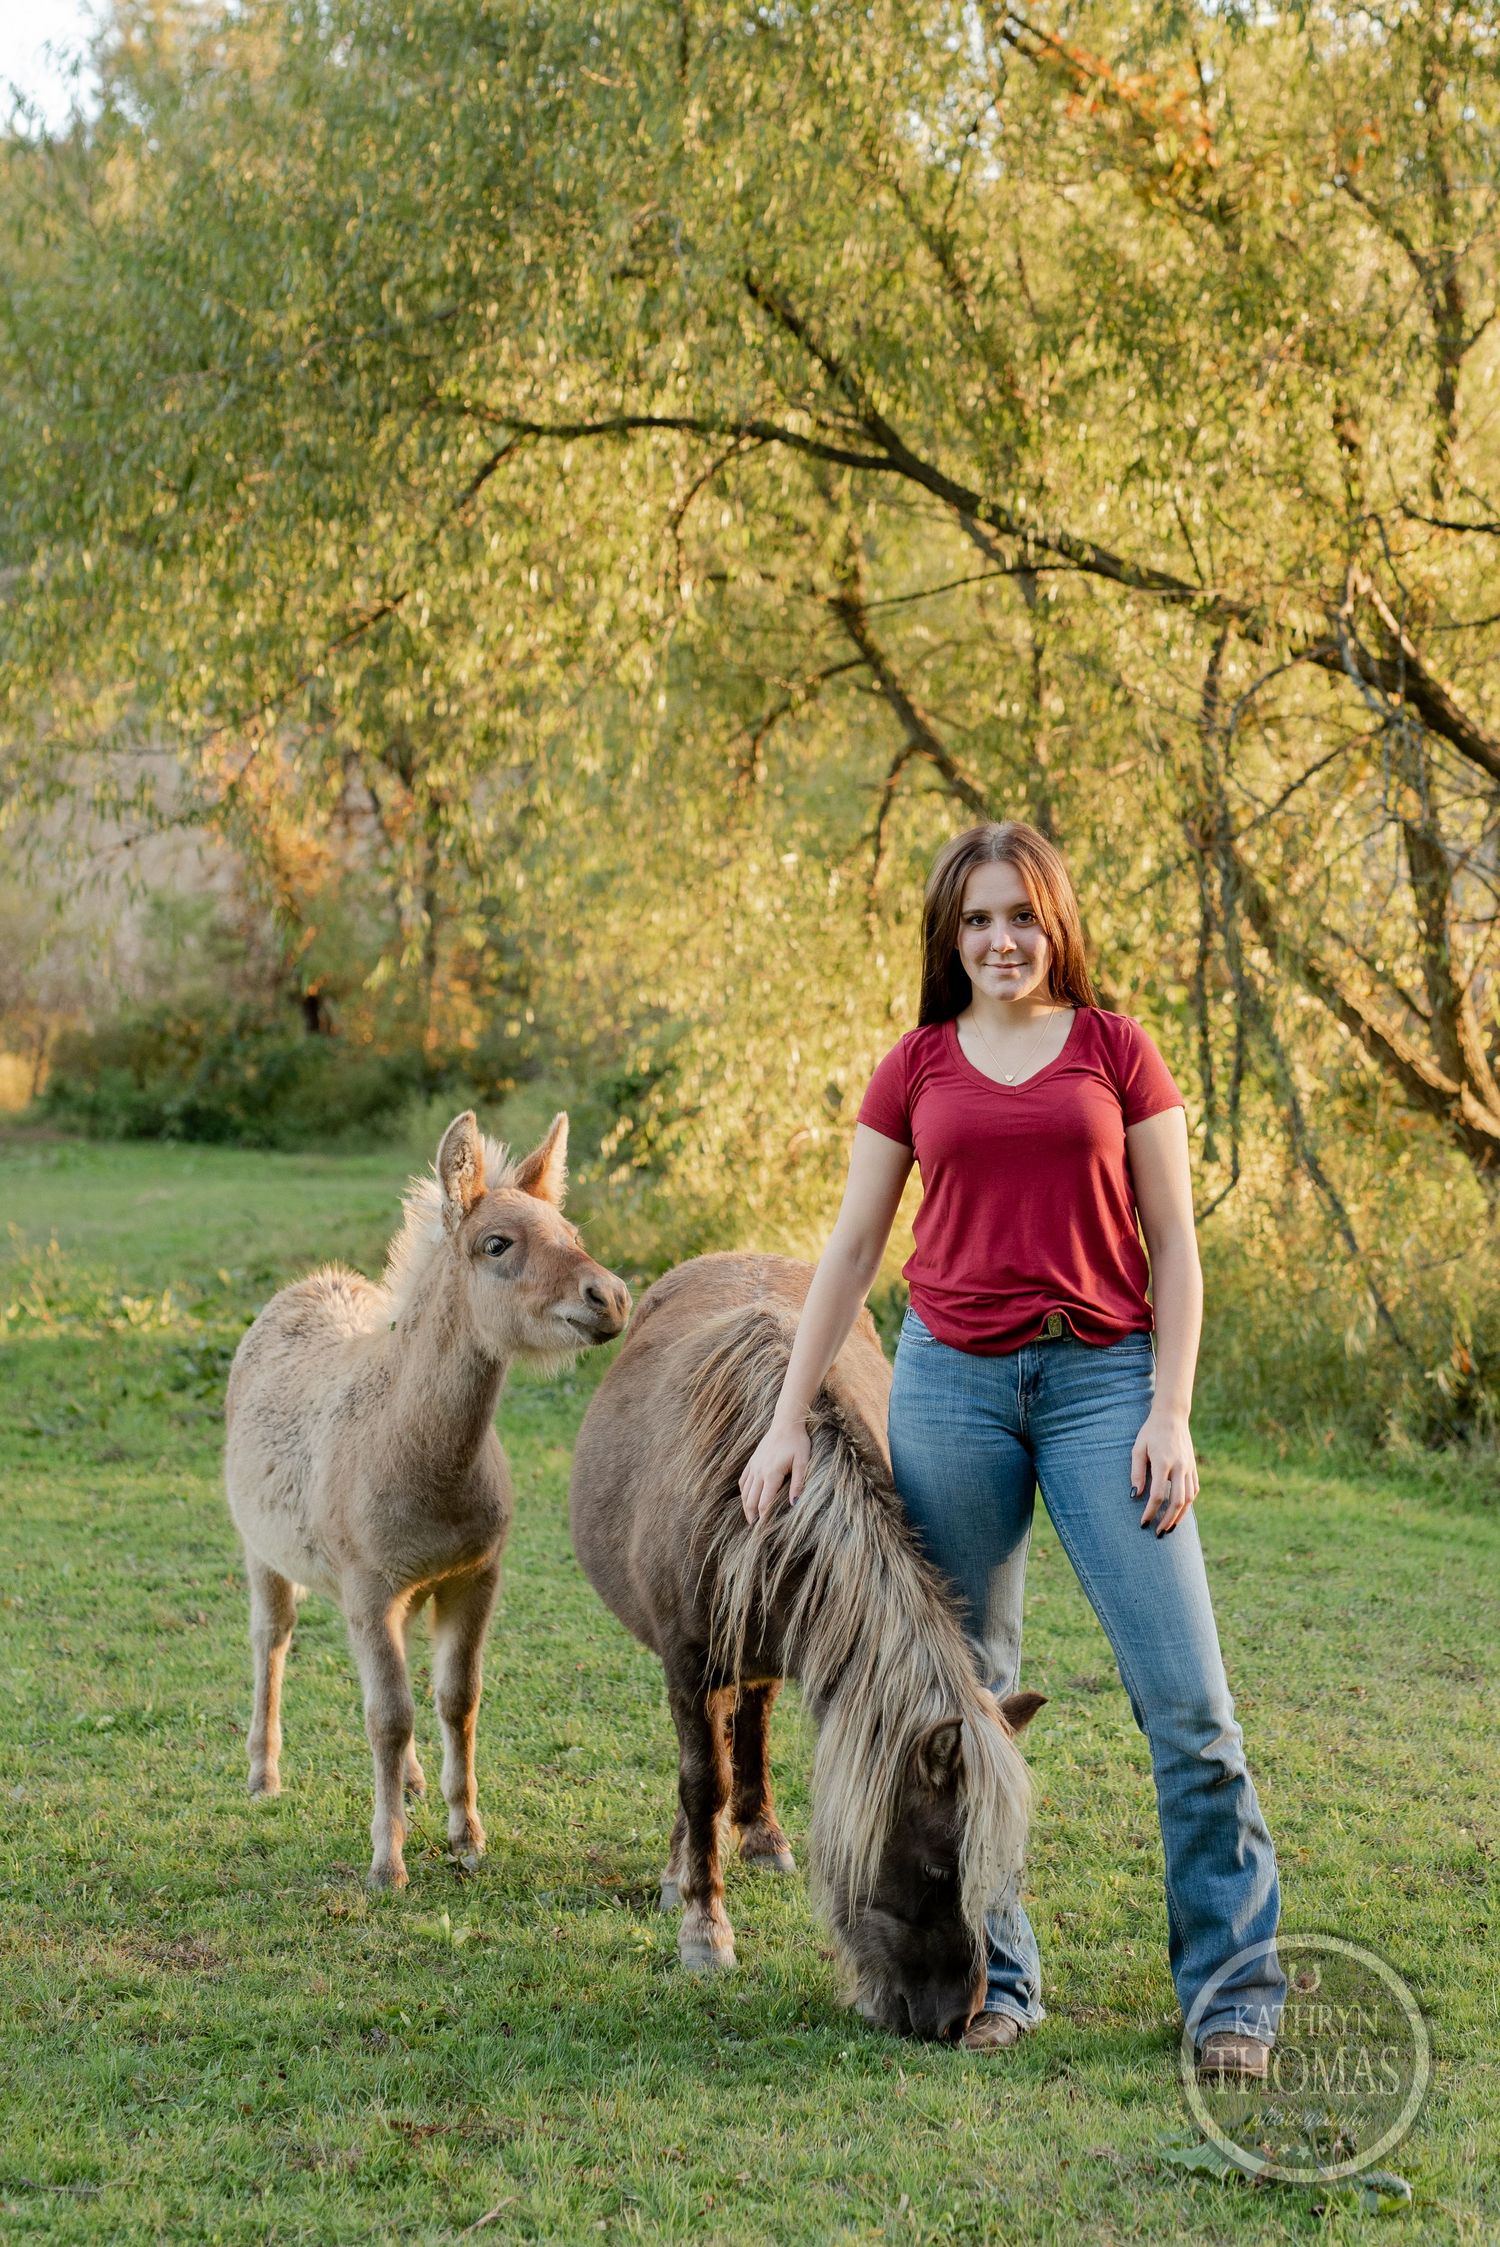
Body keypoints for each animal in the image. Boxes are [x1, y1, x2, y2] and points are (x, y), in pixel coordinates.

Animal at [225, 1110, 630, 1889]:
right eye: (497, 1244)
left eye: (570, 1230)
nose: (612, 1297)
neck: (419, 1457)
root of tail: (303, 1288)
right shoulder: (367, 1586)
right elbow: (386, 1714)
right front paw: (388, 1862)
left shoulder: (473, 1576)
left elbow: (456, 1700)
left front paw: (465, 1835)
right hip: (262, 1552)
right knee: (271, 1639)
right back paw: (263, 1774)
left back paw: (410, 1782)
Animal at [568, 1252, 1042, 2042]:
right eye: (938, 1869)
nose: (957, 2019)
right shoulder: (689, 1661)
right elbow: (702, 1783)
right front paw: (705, 1931)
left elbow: (732, 1754)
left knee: (751, 1722)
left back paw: (759, 1838)